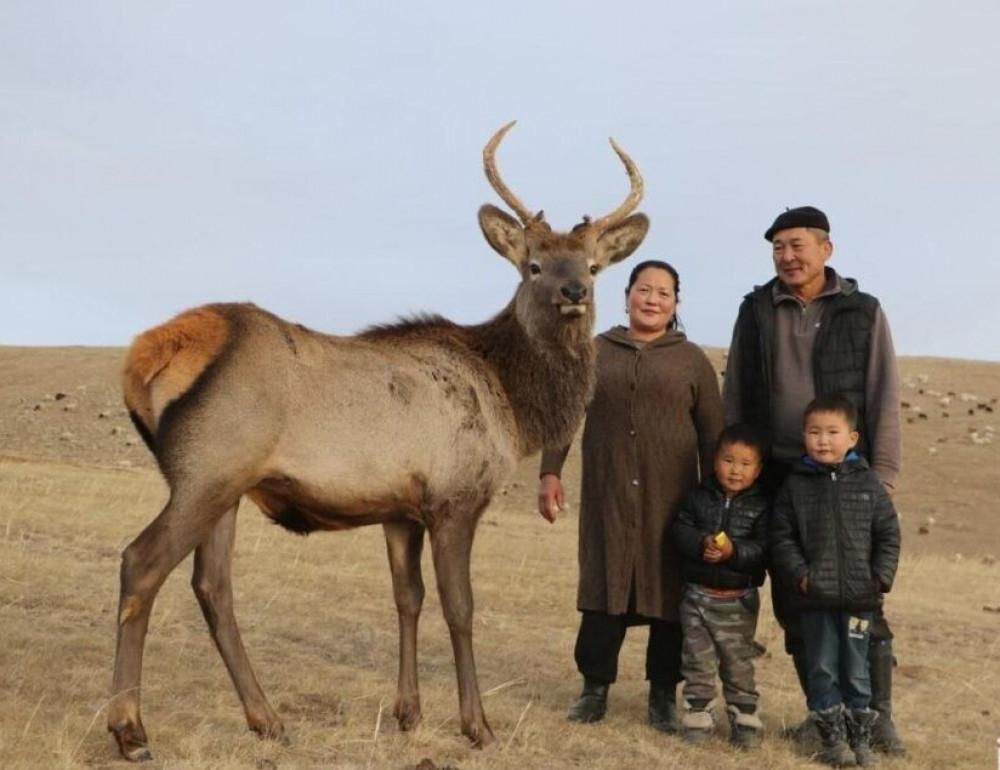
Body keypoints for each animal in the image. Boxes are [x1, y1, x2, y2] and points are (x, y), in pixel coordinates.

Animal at [107, 123, 648, 760]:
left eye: (593, 265)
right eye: (533, 265)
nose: (573, 292)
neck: (514, 404)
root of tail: (150, 351)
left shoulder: (400, 511)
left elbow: (407, 598)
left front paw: (408, 713)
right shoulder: (455, 499)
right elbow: (460, 607)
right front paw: (477, 725)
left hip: (225, 487)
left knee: (212, 585)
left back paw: (266, 718)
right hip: (207, 471)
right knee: (141, 562)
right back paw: (130, 728)